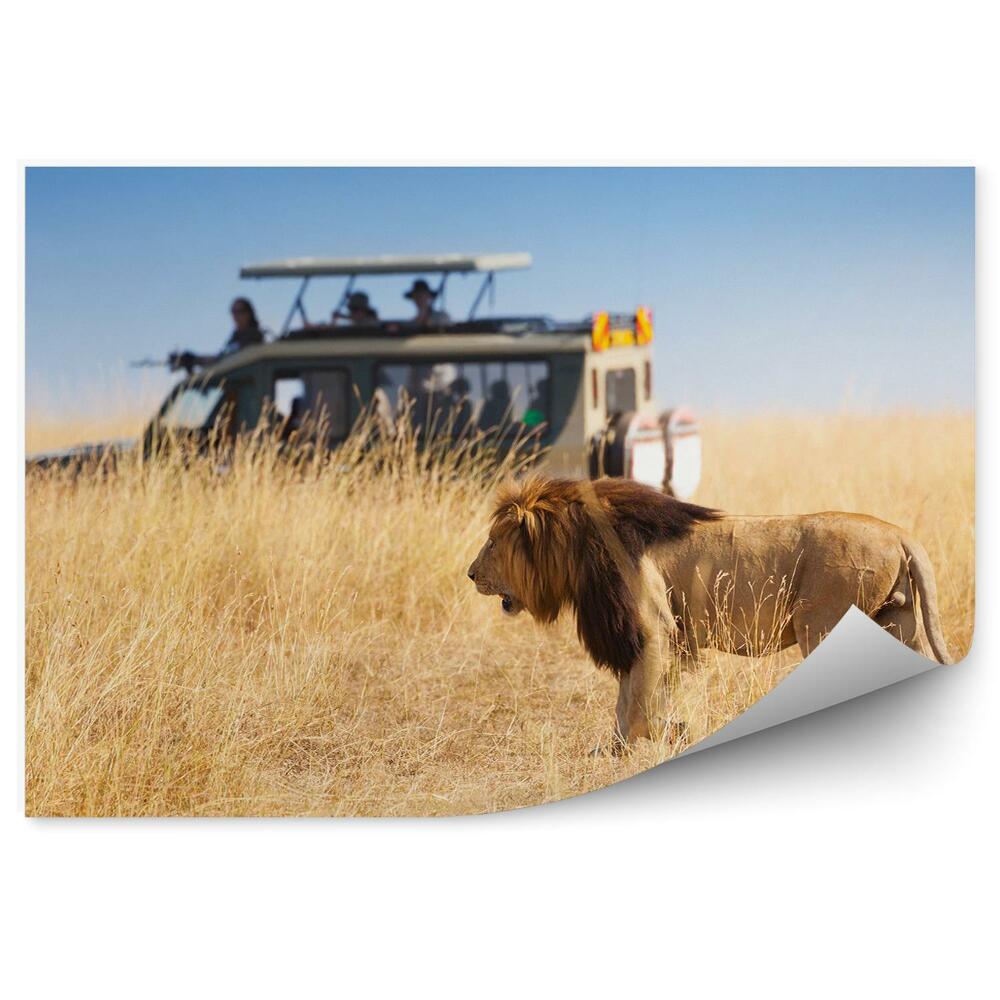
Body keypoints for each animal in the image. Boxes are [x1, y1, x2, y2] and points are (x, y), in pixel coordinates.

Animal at [467, 476, 952, 750]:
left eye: (491, 542)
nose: (471, 574)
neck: (577, 546)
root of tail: (899, 533)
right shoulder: (645, 636)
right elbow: (628, 698)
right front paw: (620, 747)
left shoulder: (653, 629)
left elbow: (638, 698)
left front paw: (650, 742)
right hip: (897, 621)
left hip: (822, 624)